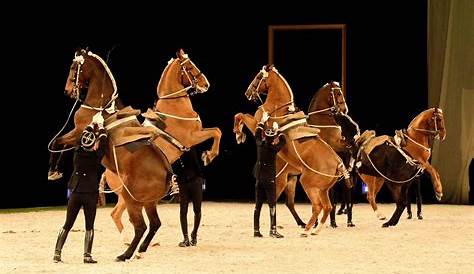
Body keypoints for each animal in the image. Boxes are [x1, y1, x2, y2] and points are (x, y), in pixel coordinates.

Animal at [49, 49, 174, 262]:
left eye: (73, 67)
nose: (68, 90)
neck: (101, 107)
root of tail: (166, 171)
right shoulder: (79, 136)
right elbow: (60, 143)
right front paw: (55, 170)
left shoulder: (79, 133)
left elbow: (58, 142)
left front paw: (53, 170)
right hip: (148, 203)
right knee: (154, 224)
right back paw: (140, 250)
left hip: (132, 201)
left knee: (140, 226)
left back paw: (125, 254)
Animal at [106, 48, 221, 242]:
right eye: (190, 66)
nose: (206, 84)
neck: (174, 106)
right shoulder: (192, 137)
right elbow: (217, 132)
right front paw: (210, 155)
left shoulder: (198, 133)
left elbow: (216, 130)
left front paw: (207, 154)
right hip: (128, 196)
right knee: (116, 214)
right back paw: (128, 241)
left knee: (119, 215)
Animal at [233, 65, 348, 235]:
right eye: (338, 93)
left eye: (258, 77)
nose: (248, 92)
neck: (278, 108)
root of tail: (338, 163)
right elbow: (241, 114)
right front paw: (239, 133)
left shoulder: (256, 127)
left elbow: (241, 115)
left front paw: (238, 133)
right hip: (317, 188)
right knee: (325, 206)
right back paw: (313, 229)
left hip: (306, 184)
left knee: (317, 206)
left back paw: (306, 229)